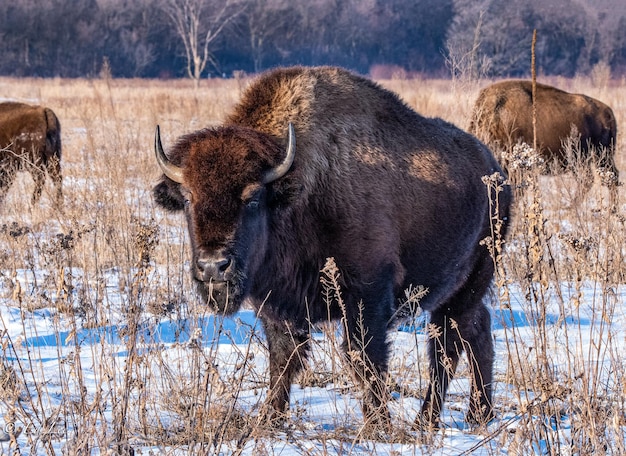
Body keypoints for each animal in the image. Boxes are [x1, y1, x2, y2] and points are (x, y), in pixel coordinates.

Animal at [152, 66, 512, 432]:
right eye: (187, 198)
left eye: (252, 198)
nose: (213, 266)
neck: (296, 191)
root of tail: (496, 172)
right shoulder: (279, 304)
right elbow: (283, 358)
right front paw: (269, 420)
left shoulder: (367, 294)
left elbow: (363, 356)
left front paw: (378, 425)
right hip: (458, 292)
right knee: (475, 330)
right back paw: (476, 415)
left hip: (468, 284)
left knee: (448, 346)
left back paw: (430, 420)